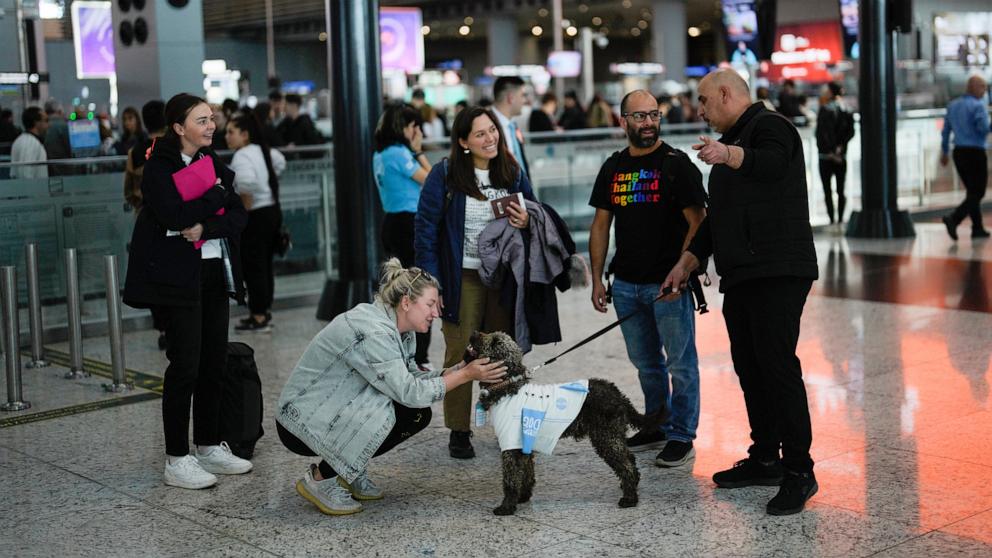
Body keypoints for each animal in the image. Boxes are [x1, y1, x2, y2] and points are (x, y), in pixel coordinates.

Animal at [464, 330, 668, 520]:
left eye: (495, 342)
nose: (473, 333)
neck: (508, 388)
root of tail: (619, 395)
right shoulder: (524, 444)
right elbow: (527, 474)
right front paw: (523, 498)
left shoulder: (510, 446)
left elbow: (510, 479)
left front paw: (506, 507)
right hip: (613, 437)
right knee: (630, 460)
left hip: (607, 439)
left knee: (626, 466)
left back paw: (630, 498)